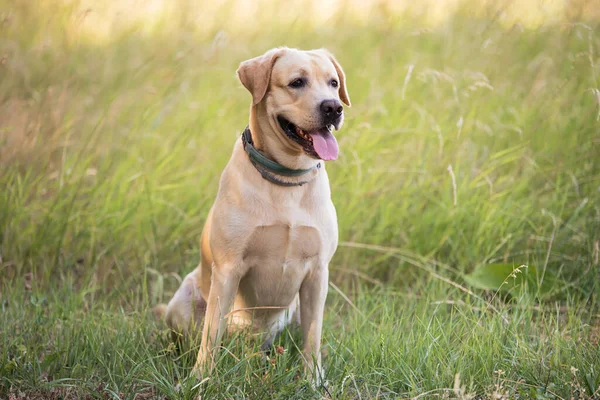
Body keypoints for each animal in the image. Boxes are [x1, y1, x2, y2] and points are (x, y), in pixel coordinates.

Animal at [163, 45, 352, 382]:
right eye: (297, 82)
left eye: (333, 83)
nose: (333, 108)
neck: (287, 178)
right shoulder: (228, 270)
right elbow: (210, 334)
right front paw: (201, 379)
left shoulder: (318, 273)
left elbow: (313, 336)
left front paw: (314, 380)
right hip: (182, 302)